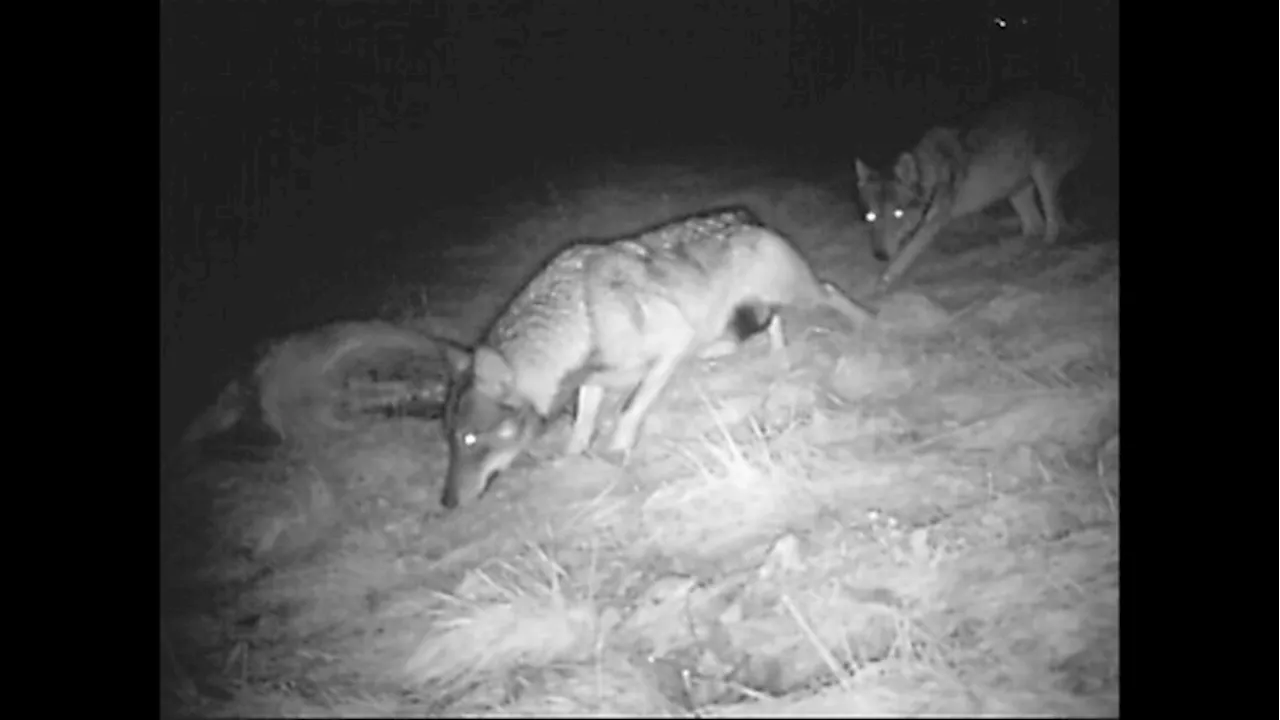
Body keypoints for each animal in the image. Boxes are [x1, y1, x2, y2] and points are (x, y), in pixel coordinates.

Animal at [440, 204, 870, 507]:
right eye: (452, 440)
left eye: (471, 438)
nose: (446, 503)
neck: (580, 318)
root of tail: (747, 216)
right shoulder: (594, 380)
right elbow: (582, 427)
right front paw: (572, 460)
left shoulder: (672, 345)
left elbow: (631, 409)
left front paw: (618, 446)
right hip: (741, 315)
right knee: (768, 326)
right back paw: (774, 358)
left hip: (796, 295)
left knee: (830, 291)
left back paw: (869, 322)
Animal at [855, 90, 1095, 288]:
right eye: (870, 216)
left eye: (898, 213)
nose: (879, 255)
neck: (931, 174)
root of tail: (1074, 104)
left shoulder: (934, 223)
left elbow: (907, 252)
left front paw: (886, 278)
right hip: (1015, 192)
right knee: (1034, 225)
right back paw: (1015, 248)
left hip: (1041, 177)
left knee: (1052, 223)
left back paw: (1042, 247)